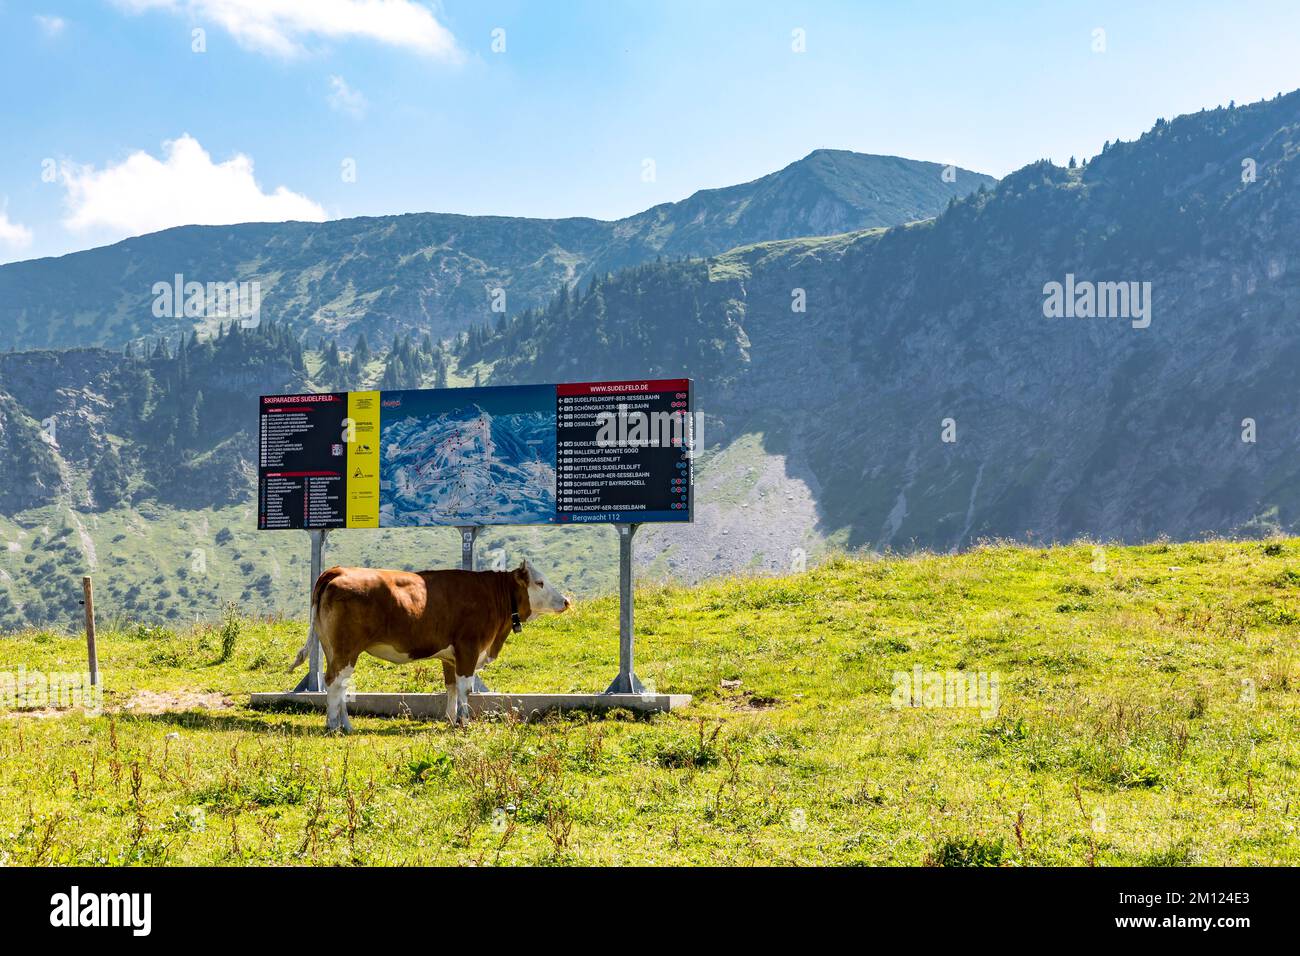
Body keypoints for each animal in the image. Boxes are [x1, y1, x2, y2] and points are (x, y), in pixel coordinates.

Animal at [288, 559, 570, 732]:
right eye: (540, 582)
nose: (566, 601)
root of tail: (339, 570)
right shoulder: (468, 648)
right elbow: (466, 688)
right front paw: (465, 721)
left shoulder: (450, 656)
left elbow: (451, 687)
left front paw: (451, 719)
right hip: (346, 649)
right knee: (334, 682)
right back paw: (333, 725)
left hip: (334, 649)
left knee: (340, 684)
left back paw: (345, 724)